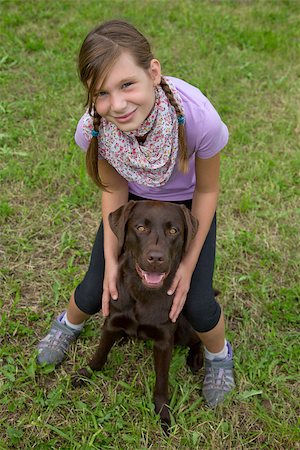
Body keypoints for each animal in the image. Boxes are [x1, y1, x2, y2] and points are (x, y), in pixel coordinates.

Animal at [73, 201, 204, 432]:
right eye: (141, 228)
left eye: (173, 231)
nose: (156, 258)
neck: (143, 292)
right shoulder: (111, 323)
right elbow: (100, 354)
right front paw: (87, 373)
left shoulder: (164, 341)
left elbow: (161, 380)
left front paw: (163, 413)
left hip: (182, 331)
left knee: (197, 339)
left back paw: (196, 358)